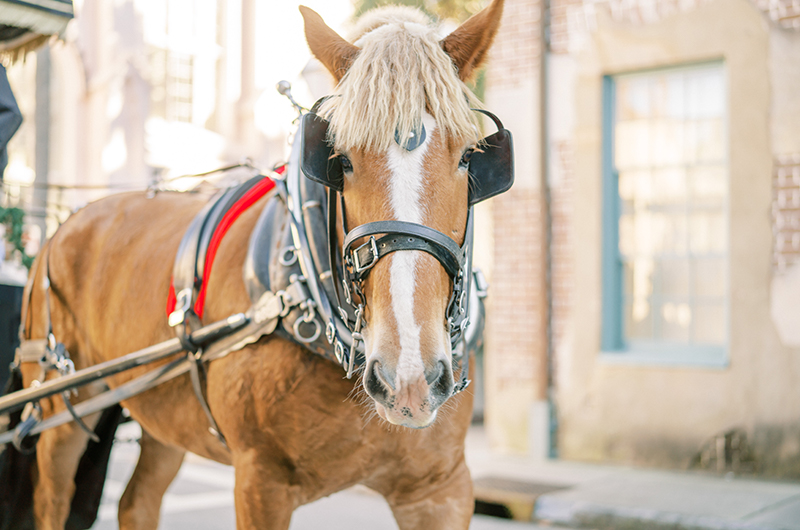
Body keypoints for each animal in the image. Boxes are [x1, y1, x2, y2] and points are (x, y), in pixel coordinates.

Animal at [10, 2, 506, 524]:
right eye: (340, 160)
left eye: (468, 157)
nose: (407, 375)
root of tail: (64, 223)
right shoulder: (260, 482)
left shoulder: (440, 490)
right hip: (60, 409)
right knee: (52, 499)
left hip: (165, 415)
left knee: (136, 502)